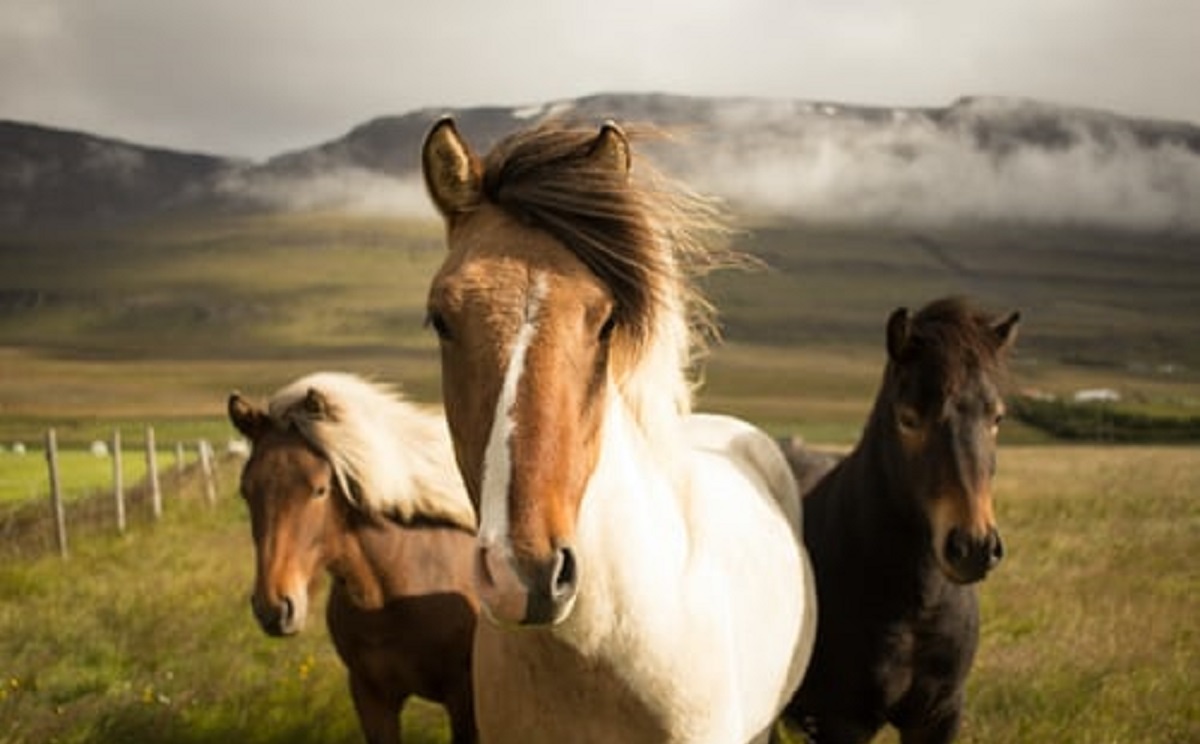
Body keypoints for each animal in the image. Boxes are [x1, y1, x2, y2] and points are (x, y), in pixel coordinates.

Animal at [787, 297, 1022, 744]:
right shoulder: (841, 723)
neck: (915, 607)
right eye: (908, 418)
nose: (974, 547)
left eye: (997, 418)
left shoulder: (939, 715)